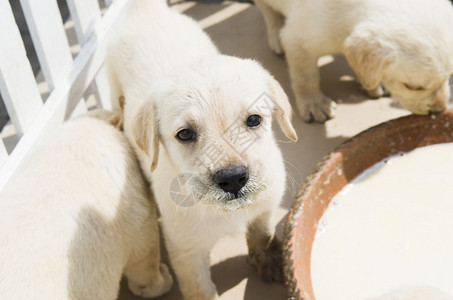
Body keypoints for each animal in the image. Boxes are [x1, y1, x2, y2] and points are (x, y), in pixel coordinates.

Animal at [105, 1, 296, 298]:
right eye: (185, 134)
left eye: (254, 120)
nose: (232, 179)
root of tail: (143, 10)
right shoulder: (187, 252)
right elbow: (200, 290)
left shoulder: (266, 206)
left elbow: (260, 232)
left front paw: (266, 258)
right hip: (113, 85)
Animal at [252, 0, 452, 123]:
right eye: (412, 87)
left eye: (448, 77)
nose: (438, 111)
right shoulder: (299, 39)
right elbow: (306, 78)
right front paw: (314, 104)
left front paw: (373, 84)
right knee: (267, 11)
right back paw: (276, 34)